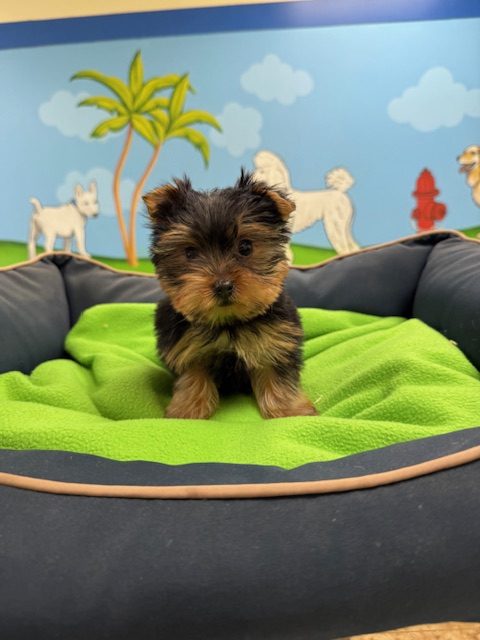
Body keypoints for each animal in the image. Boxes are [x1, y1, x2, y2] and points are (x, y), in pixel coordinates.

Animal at [143, 170, 317, 420]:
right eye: (190, 253)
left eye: (245, 247)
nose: (223, 286)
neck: (228, 323)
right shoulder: (185, 345)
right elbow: (192, 375)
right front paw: (188, 411)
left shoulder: (275, 339)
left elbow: (276, 373)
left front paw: (289, 411)